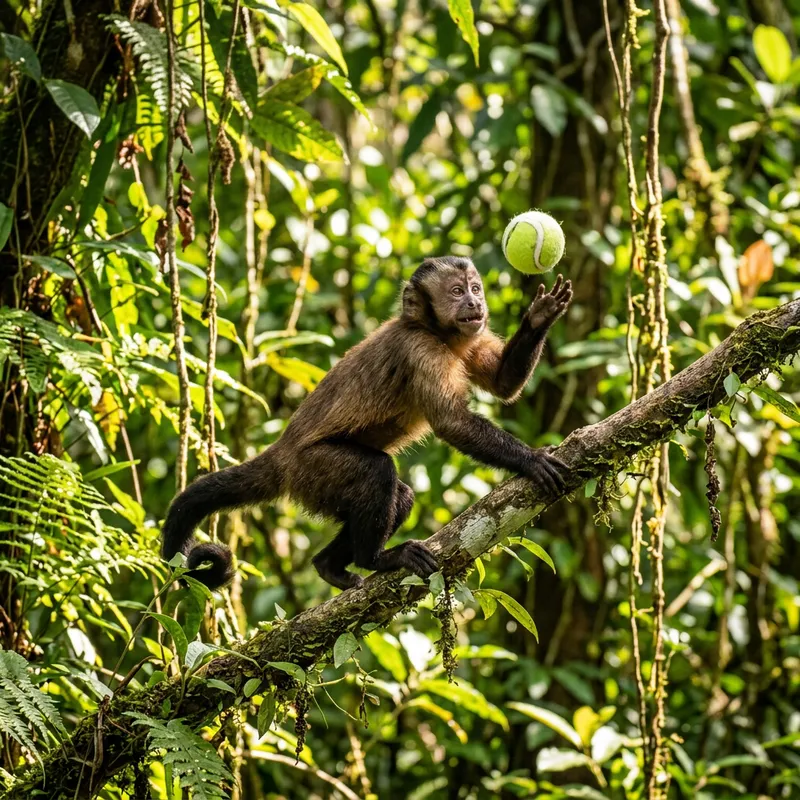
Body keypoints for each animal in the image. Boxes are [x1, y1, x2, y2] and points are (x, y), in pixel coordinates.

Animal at [161, 256, 573, 592]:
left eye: (474, 289)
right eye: (456, 292)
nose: (475, 304)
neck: (435, 332)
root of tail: (282, 452)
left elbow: (504, 385)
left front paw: (540, 315)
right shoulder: (420, 351)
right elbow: (452, 423)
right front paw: (531, 461)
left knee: (400, 496)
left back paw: (329, 565)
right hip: (313, 470)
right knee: (377, 472)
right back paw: (375, 559)